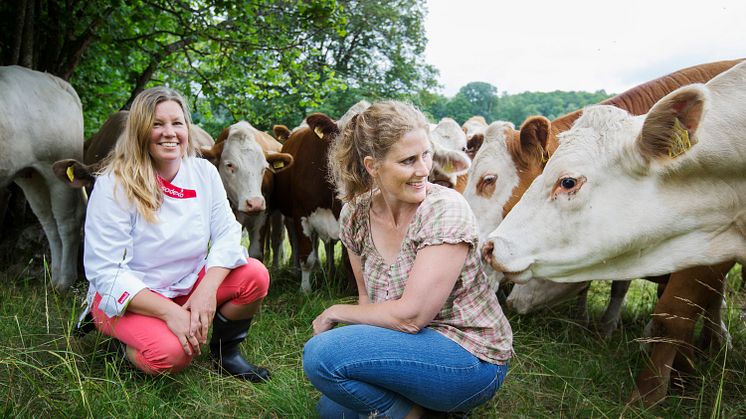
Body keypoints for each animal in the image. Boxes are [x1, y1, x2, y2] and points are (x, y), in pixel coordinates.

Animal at [0, 65, 84, 290]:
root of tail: (54, 80)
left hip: (56, 167)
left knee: (67, 222)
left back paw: (65, 281)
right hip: (30, 175)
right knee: (49, 222)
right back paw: (54, 278)